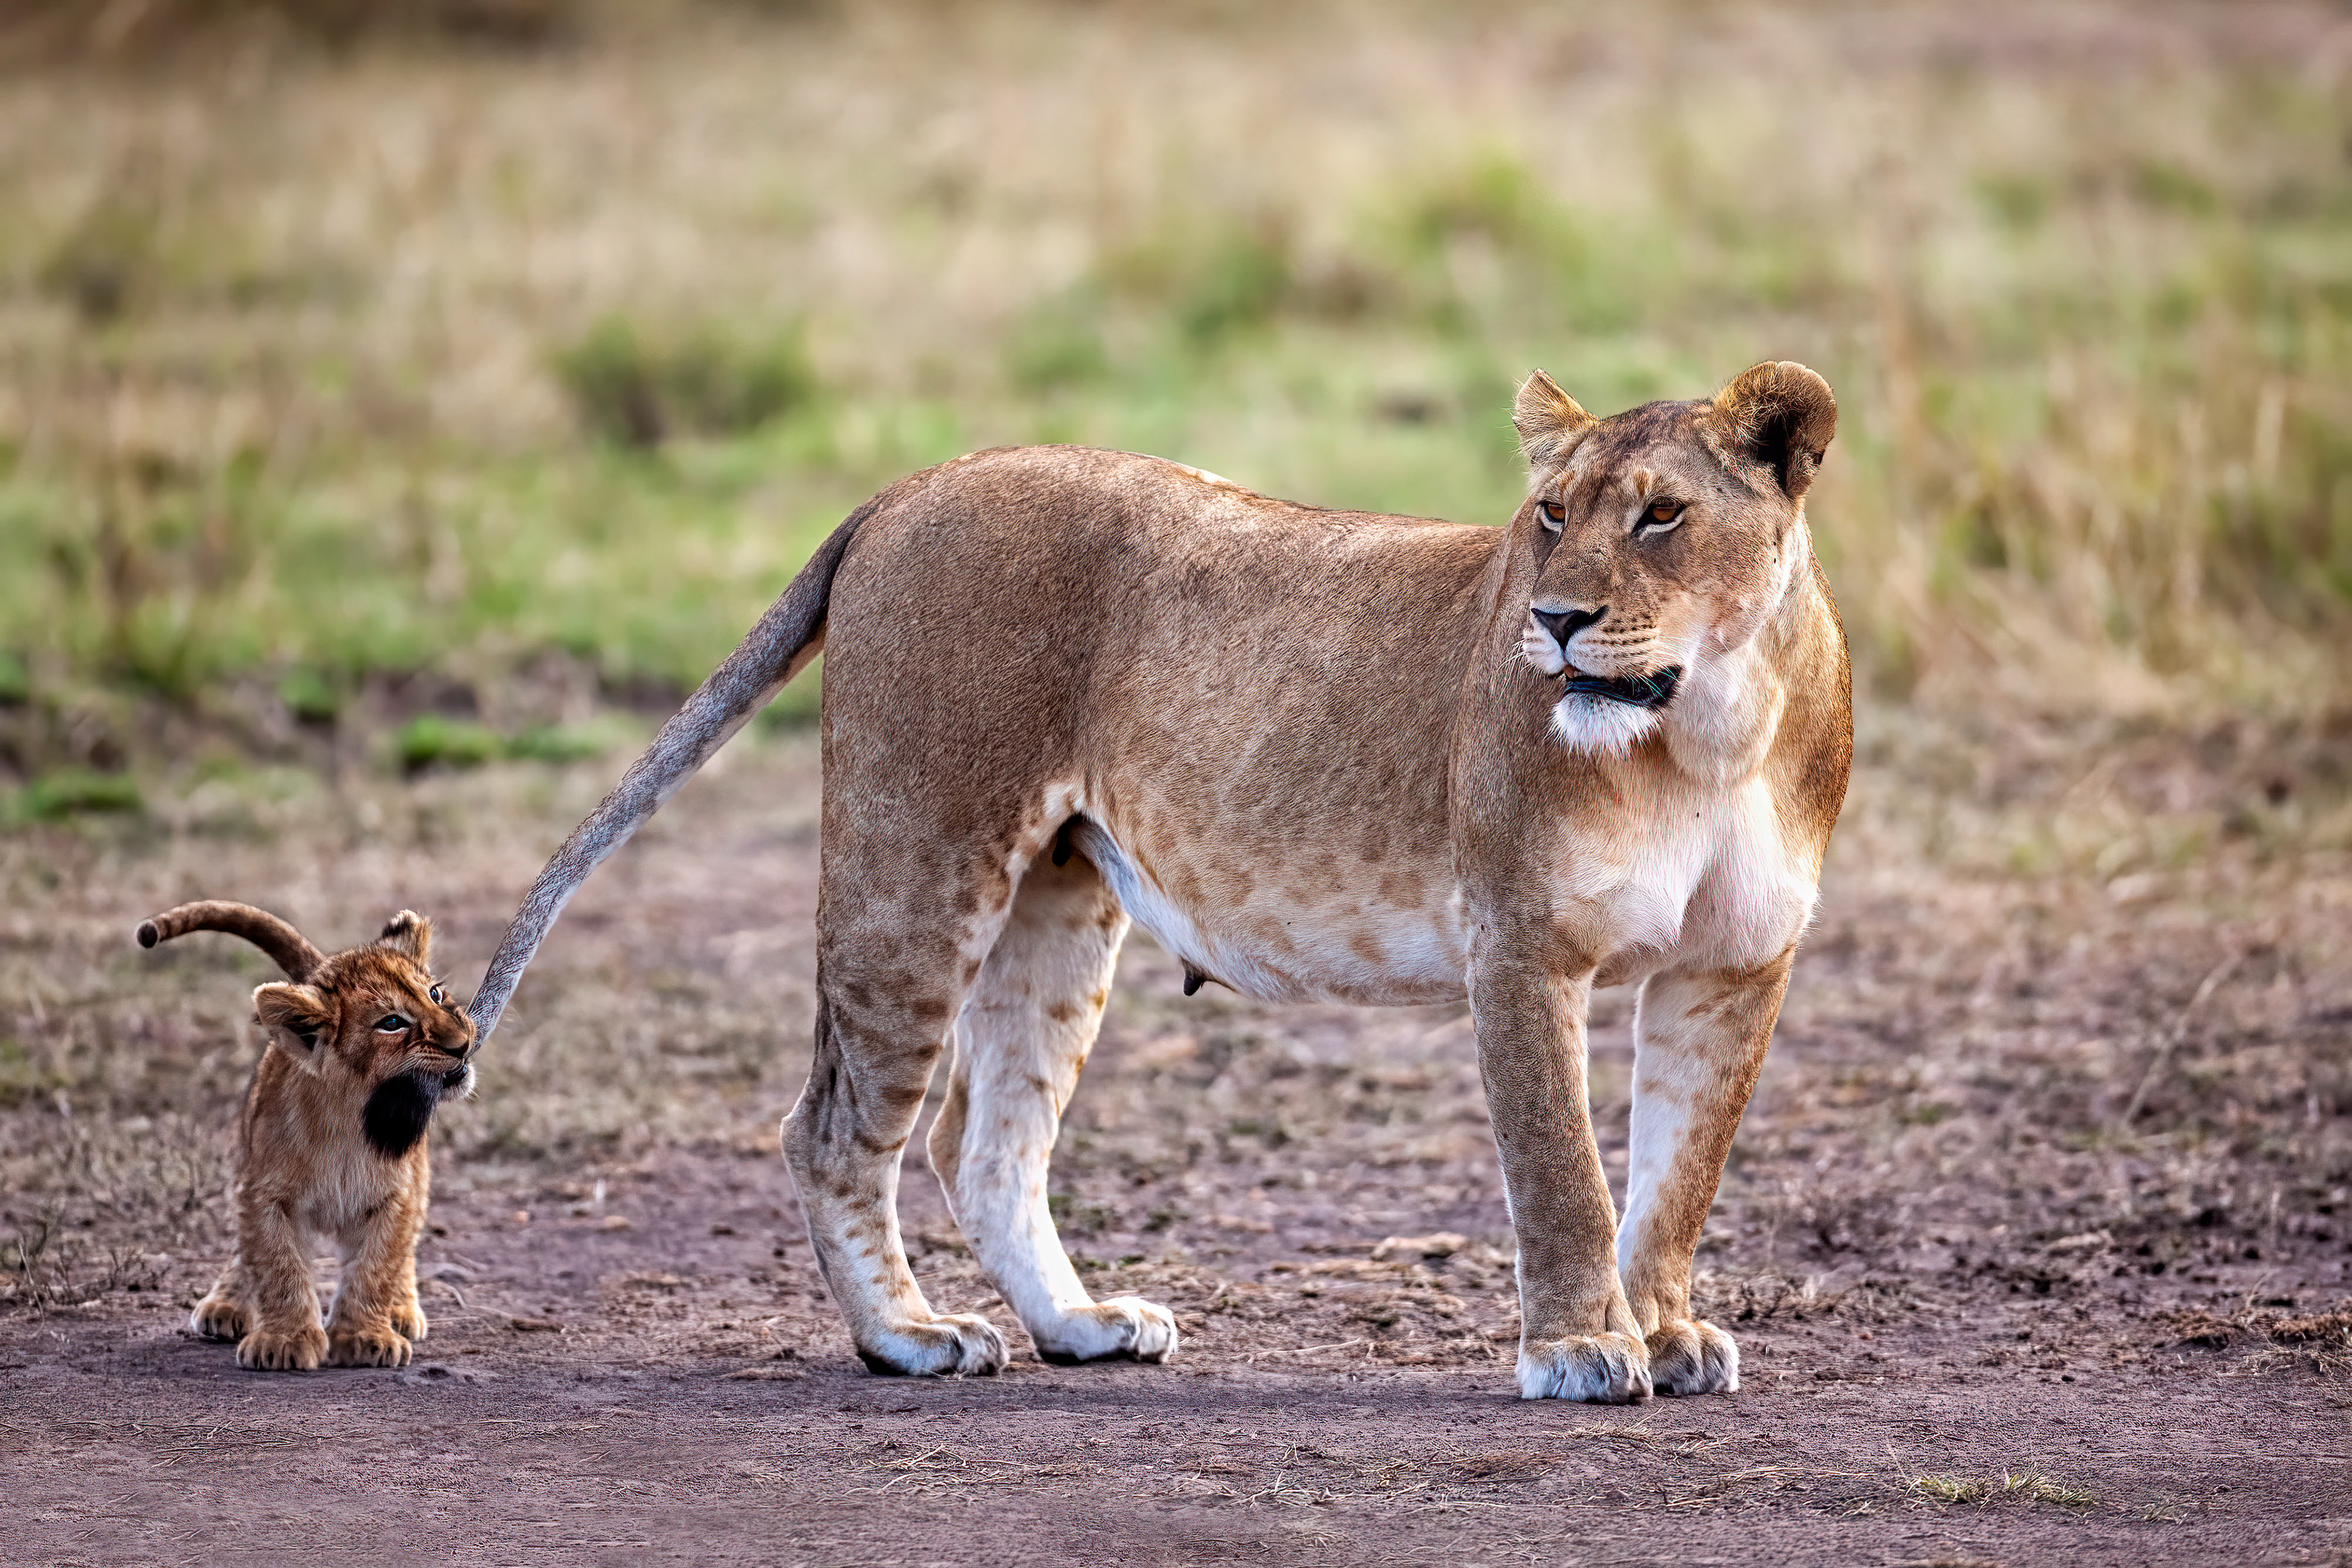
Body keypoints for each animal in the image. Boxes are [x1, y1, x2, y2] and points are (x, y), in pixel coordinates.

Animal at [138, 901, 475, 1371]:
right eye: (392, 1023)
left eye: (436, 995)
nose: (463, 1044)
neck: (350, 1116)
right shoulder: (264, 1193)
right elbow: (278, 1265)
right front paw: (285, 1341)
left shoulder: (399, 1194)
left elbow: (378, 1266)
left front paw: (363, 1337)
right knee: (246, 1249)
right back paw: (226, 1304)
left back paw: (401, 1310)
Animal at [466, 361, 1850, 1402]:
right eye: (1553, 515)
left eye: (1662, 515)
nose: (1555, 621)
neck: (1705, 729)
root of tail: (915, 482)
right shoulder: (1517, 944)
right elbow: (1565, 1171)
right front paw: (1579, 1348)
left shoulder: (1736, 965)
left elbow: (1678, 1172)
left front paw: (1665, 1332)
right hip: (916, 860)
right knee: (838, 1124)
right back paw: (909, 1335)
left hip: (1057, 897)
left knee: (985, 1135)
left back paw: (1079, 1324)